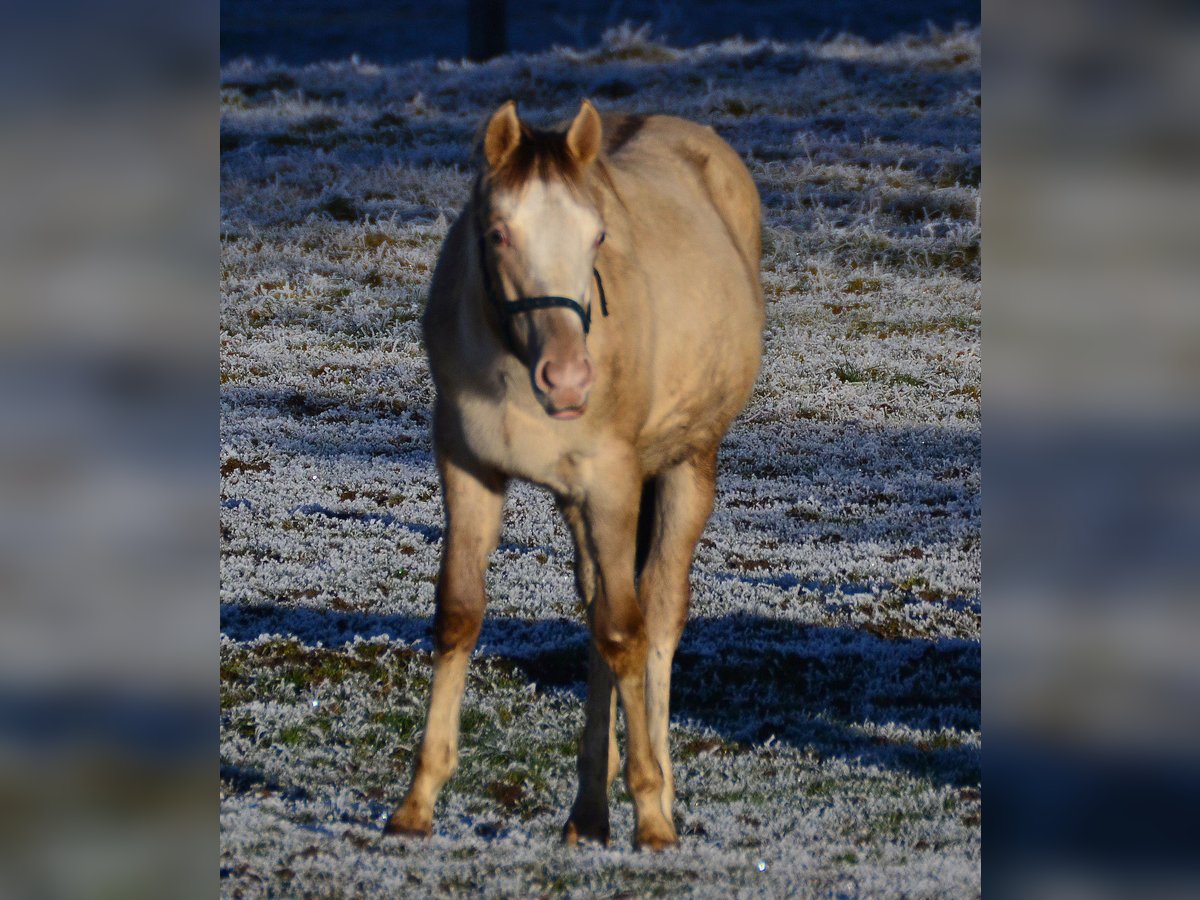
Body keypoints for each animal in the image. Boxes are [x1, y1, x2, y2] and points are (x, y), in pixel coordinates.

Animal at [388, 100, 763, 854]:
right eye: (499, 232)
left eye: (597, 236)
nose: (568, 380)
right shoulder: (467, 467)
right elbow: (461, 613)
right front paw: (417, 802)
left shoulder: (612, 482)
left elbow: (627, 631)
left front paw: (652, 813)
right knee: (597, 607)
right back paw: (588, 809)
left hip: (686, 464)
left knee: (656, 614)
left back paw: (657, 791)